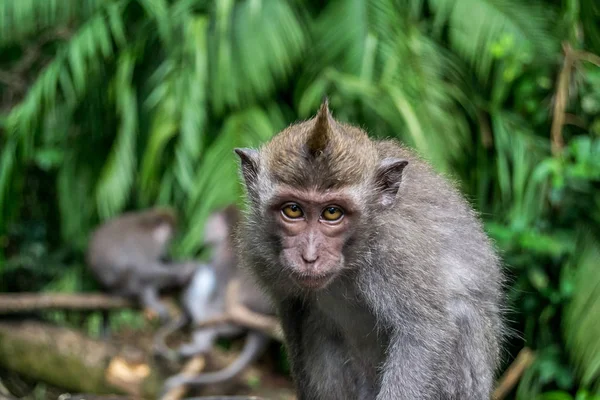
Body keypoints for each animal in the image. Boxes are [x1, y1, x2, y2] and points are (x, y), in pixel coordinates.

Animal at [232, 100, 504, 400]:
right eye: (293, 210)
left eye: (332, 212)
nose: (309, 256)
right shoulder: (260, 250)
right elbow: (293, 317)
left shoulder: (396, 250)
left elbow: (426, 332)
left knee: (461, 313)